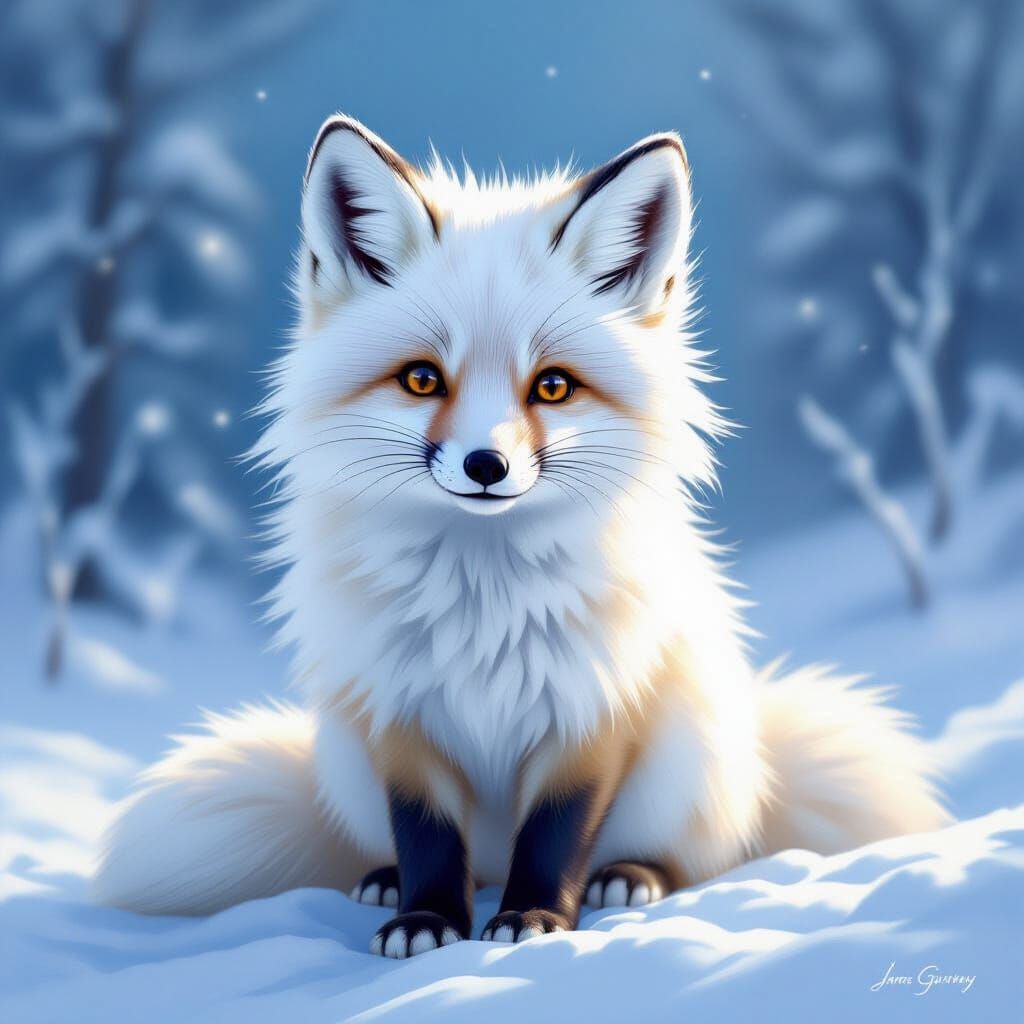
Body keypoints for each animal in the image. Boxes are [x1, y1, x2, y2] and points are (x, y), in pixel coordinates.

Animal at [94, 115, 947, 958]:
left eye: (554, 387)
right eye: (422, 379)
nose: (486, 465)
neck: (483, 603)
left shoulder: (592, 710)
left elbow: (556, 834)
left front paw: (533, 921)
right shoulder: (400, 716)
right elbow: (427, 835)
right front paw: (426, 921)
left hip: (689, 763)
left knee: (694, 855)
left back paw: (630, 877)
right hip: (343, 757)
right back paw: (384, 880)